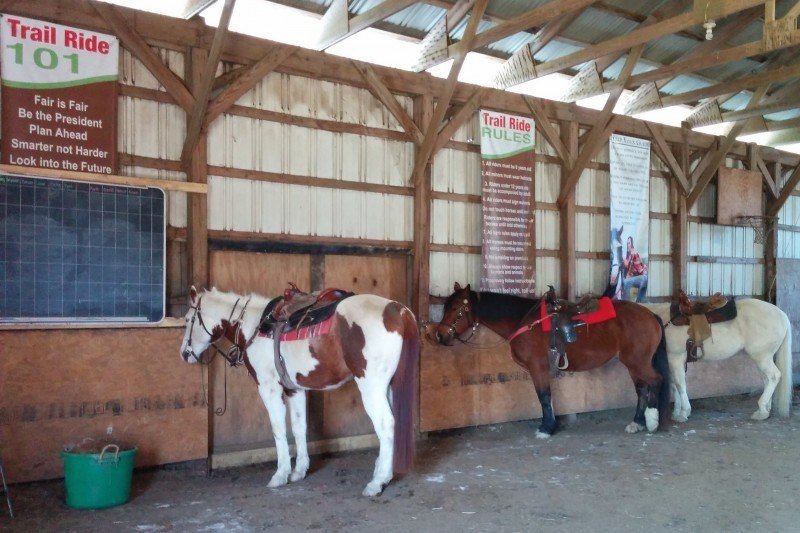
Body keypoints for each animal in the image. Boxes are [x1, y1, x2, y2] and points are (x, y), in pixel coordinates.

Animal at [179, 284, 422, 496]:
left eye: (188, 320)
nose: (184, 354)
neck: (254, 326)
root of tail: (397, 309)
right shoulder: (294, 389)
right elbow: (299, 428)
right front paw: (299, 471)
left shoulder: (268, 388)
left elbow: (278, 429)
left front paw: (280, 474)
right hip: (388, 386)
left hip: (371, 387)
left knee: (385, 424)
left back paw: (377, 482)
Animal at [434, 282, 672, 436]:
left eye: (455, 308)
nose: (440, 335)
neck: (525, 321)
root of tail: (650, 315)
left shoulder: (537, 366)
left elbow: (544, 395)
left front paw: (546, 428)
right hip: (633, 364)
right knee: (642, 389)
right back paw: (637, 423)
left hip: (638, 362)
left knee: (655, 381)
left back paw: (652, 422)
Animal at [648, 298, 792, 422]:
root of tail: (782, 314)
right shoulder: (672, 361)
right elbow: (674, 385)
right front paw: (677, 413)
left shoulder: (676, 359)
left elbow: (680, 385)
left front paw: (684, 413)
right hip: (762, 358)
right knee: (766, 379)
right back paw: (764, 411)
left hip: (762, 357)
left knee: (774, 376)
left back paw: (762, 409)